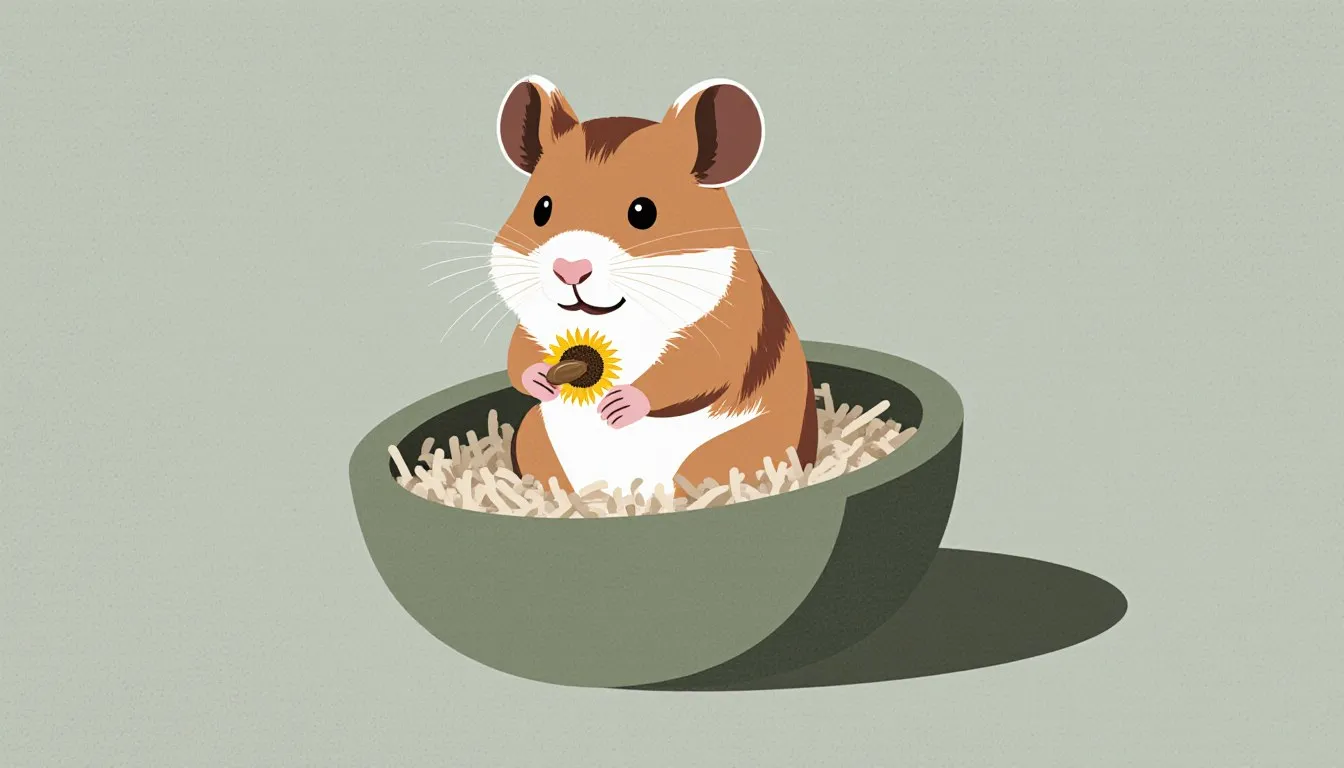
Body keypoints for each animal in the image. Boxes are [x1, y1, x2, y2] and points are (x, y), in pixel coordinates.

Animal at [489, 75, 816, 498]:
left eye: (643, 212)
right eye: (541, 209)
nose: (570, 270)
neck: (612, 322)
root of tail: (626, 493)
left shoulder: (725, 330)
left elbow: (691, 372)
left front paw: (616, 407)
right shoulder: (530, 325)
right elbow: (519, 357)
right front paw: (542, 381)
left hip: (732, 453)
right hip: (532, 435)